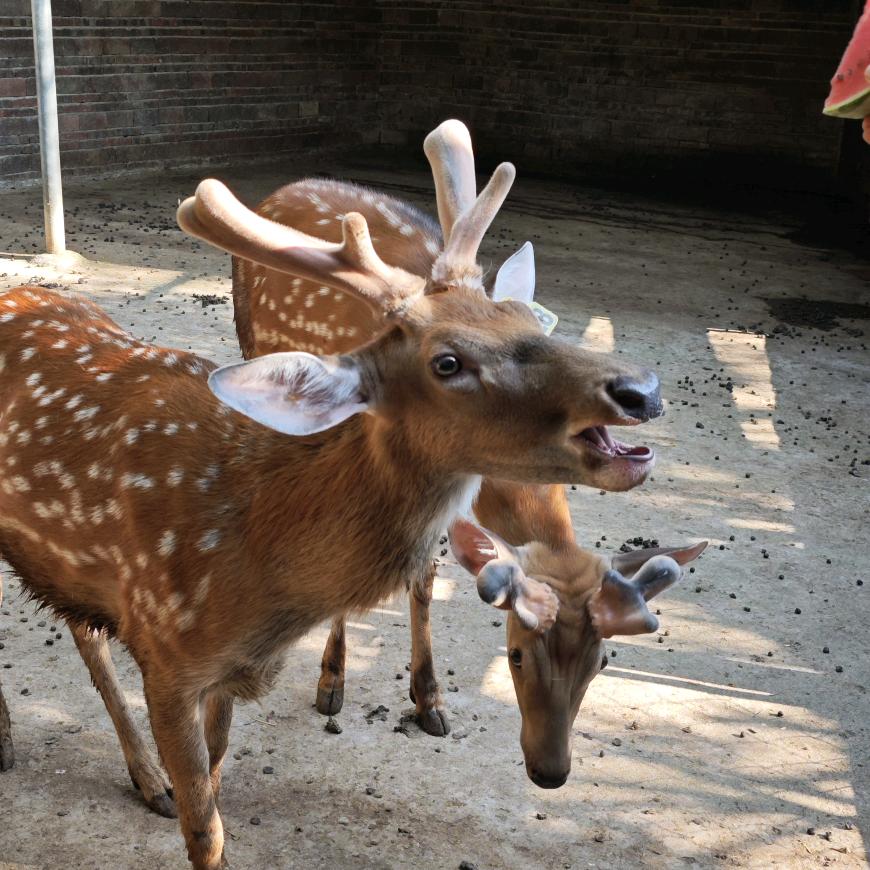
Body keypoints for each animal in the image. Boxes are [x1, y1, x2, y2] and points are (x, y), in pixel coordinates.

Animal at [230, 120, 661, 737]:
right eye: (518, 652)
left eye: (602, 661)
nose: (642, 392)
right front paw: (337, 682)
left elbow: (426, 575)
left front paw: (427, 696)